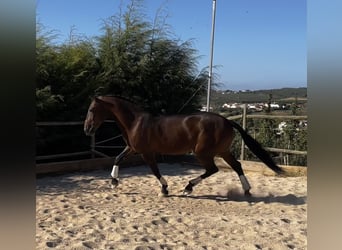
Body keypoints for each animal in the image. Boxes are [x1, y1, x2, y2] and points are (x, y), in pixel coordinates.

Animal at [83, 96, 284, 196]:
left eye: (92, 109)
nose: (87, 129)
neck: (135, 122)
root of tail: (227, 121)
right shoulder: (132, 149)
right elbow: (117, 158)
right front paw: (113, 182)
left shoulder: (147, 152)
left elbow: (155, 170)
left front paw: (164, 189)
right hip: (223, 150)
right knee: (237, 166)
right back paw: (247, 190)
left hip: (202, 152)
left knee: (213, 169)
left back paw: (188, 187)